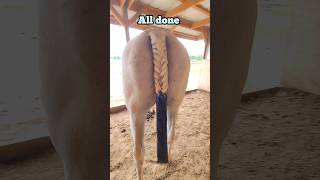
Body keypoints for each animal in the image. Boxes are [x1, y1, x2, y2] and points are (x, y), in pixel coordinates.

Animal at [121, 28, 189, 179]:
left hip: (137, 112)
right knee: (170, 136)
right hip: (174, 105)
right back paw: (169, 160)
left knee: (138, 153)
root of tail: (158, 32)